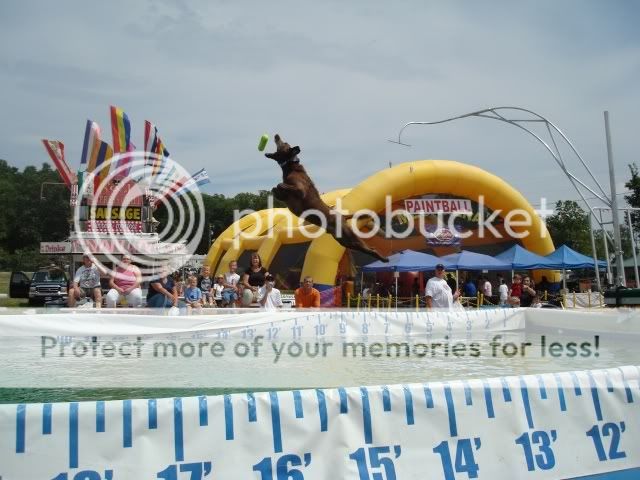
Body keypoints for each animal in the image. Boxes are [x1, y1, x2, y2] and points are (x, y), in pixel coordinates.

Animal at [264, 134, 388, 262]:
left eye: (283, 143)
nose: (276, 135)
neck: (292, 167)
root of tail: (342, 216)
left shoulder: (300, 189)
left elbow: (280, 184)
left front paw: (280, 187)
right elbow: (275, 189)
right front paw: (277, 191)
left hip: (349, 238)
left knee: (370, 249)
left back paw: (383, 259)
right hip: (344, 241)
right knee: (368, 248)